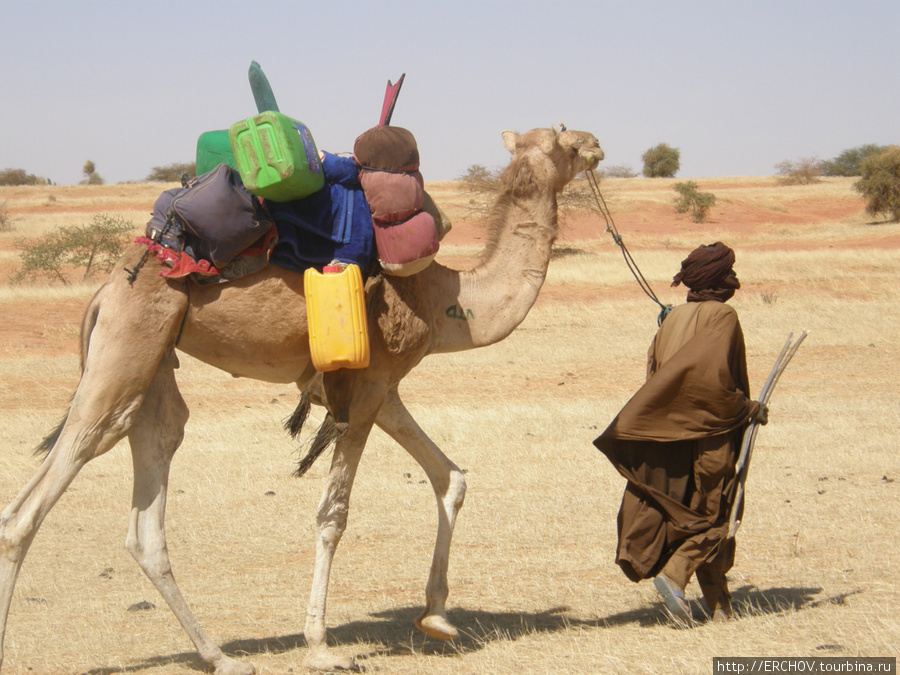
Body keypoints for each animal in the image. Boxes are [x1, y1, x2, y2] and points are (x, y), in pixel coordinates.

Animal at [0, 125, 604, 672]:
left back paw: (220, 657)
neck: (447, 301)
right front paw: (321, 646)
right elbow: (333, 513)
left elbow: (449, 476)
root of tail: (104, 292)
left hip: (152, 367)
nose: (597, 144)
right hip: (124, 350)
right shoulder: (368, 386)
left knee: (149, 495)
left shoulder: (381, 387)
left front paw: (436, 618)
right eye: (565, 140)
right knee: (31, 504)